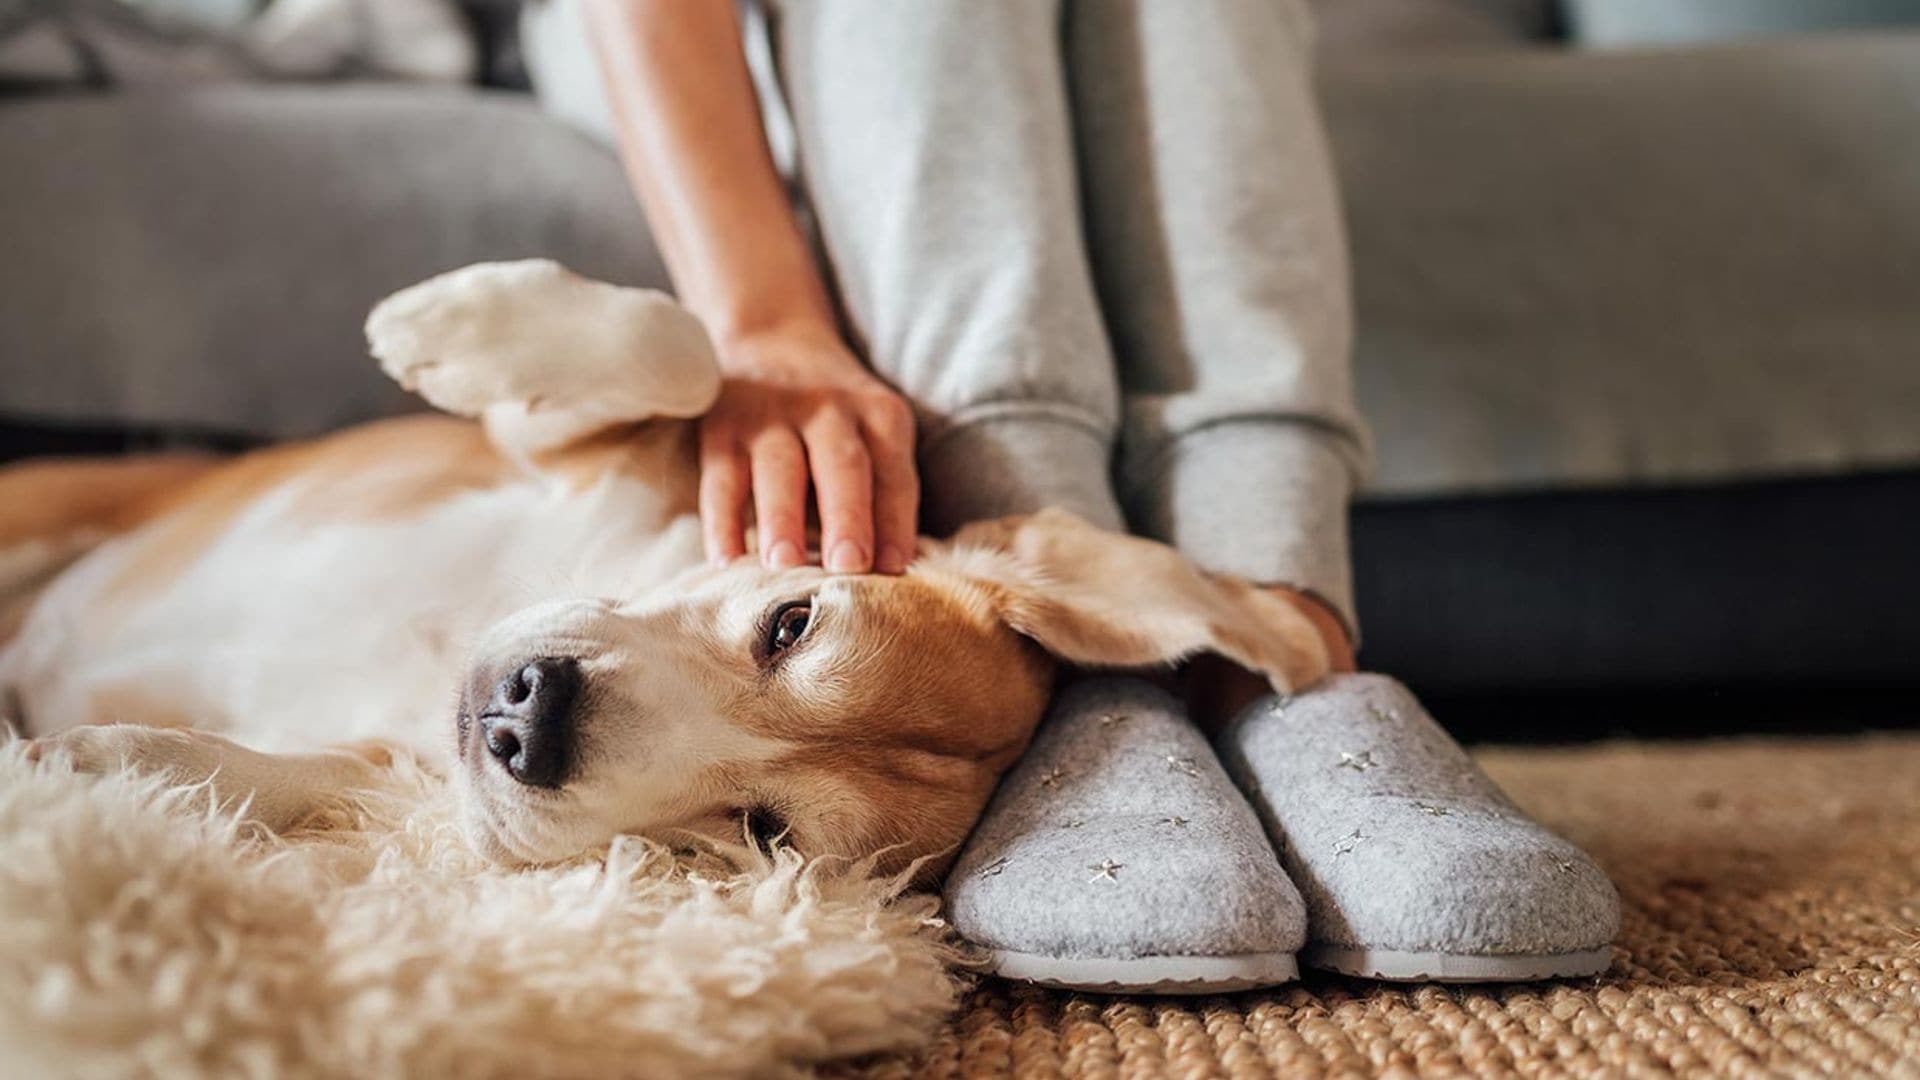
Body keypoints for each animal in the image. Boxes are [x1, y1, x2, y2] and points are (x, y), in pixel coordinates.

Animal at [0, 259, 1328, 876]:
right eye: (791, 622)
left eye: (765, 832)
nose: (528, 721)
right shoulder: (561, 450)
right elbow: (680, 350)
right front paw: (448, 328)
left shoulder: (393, 769)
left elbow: (279, 775)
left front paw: (97, 769)